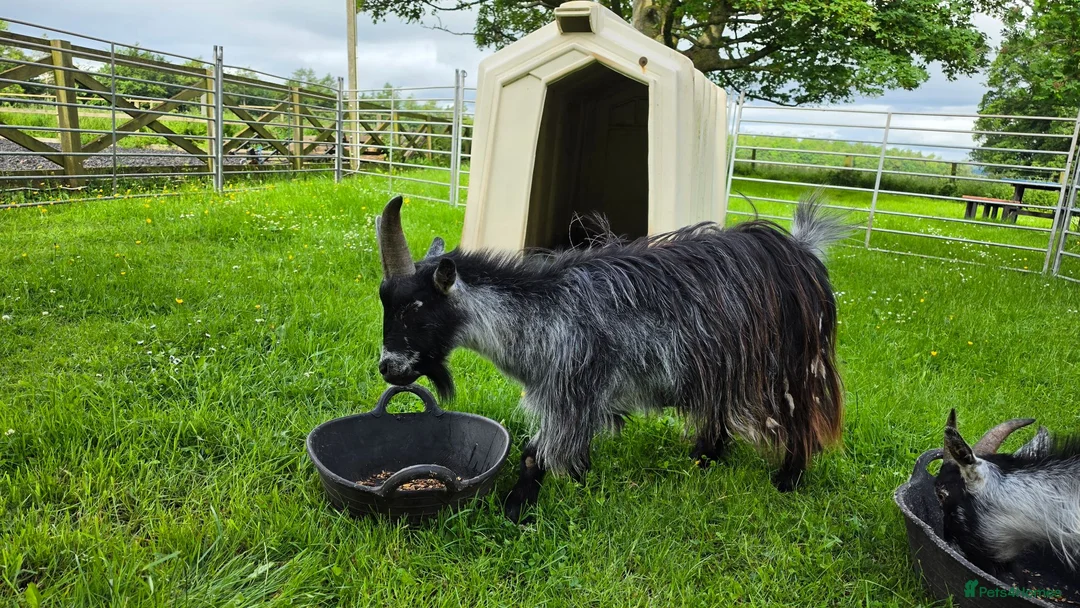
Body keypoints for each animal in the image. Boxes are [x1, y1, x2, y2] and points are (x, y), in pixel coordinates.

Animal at [374, 191, 854, 522]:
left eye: (415, 307)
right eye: (384, 300)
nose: (388, 368)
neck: (543, 311)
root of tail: (802, 250)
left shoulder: (571, 387)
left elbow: (534, 454)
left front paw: (516, 510)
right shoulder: (582, 393)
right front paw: (579, 479)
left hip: (792, 362)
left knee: (801, 418)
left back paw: (788, 479)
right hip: (724, 360)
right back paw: (704, 457)